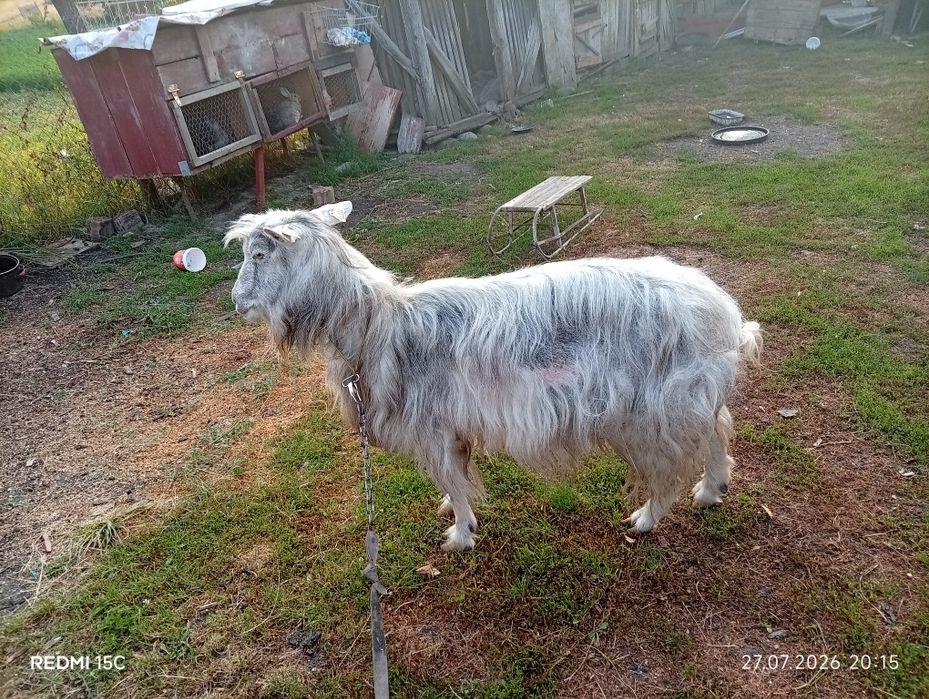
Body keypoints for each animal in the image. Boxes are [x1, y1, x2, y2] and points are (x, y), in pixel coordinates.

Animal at [225, 209, 762, 551]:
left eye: (259, 254)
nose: (236, 302)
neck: (380, 325)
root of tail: (728, 318)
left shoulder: (434, 426)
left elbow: (453, 479)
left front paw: (461, 536)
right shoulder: (453, 427)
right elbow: (455, 476)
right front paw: (451, 511)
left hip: (656, 411)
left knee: (672, 467)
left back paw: (648, 518)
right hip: (690, 399)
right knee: (718, 429)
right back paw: (712, 489)